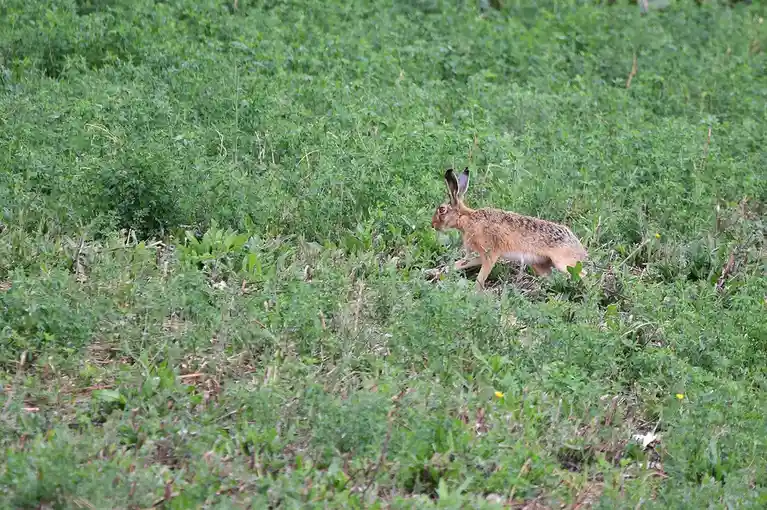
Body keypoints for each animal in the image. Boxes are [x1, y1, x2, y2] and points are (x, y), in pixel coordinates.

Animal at [431, 167, 587, 290]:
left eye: (442, 210)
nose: (433, 225)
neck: (467, 219)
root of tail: (580, 249)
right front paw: (438, 272)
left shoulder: (490, 253)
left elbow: (481, 278)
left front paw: (475, 294)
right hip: (540, 265)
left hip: (563, 263)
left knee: (584, 275)